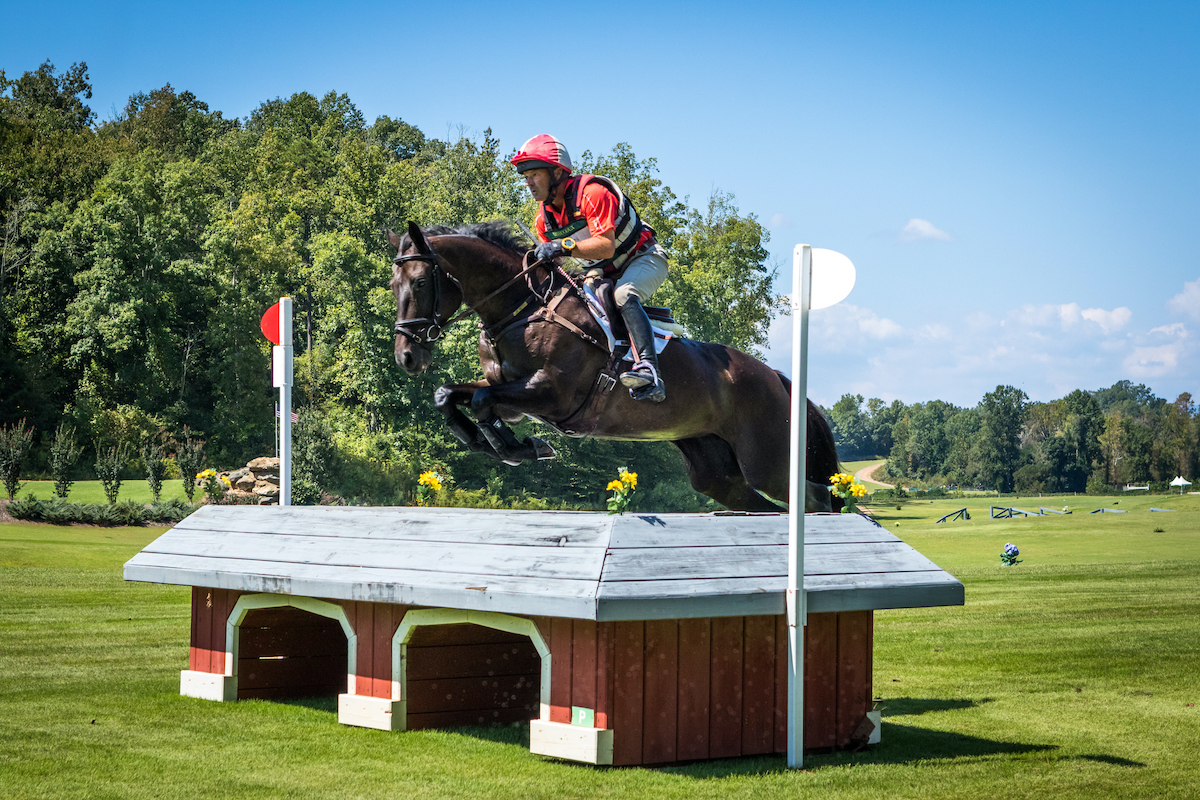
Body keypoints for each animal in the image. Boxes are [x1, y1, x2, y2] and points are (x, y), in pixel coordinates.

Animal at [388, 220, 840, 513]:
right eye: (394, 285)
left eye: (422, 283)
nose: (406, 356)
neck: (522, 308)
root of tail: (776, 378)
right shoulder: (511, 392)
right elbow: (451, 395)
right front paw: (506, 446)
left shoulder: (552, 394)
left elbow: (482, 400)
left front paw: (519, 448)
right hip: (717, 472)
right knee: (762, 504)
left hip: (768, 461)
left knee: (815, 497)